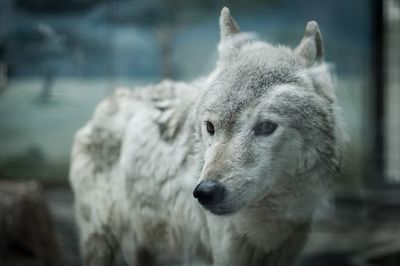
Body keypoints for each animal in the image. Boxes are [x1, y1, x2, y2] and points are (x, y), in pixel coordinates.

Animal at [71, 6, 346, 266]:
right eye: (210, 127)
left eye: (266, 126)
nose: (205, 192)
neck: (268, 223)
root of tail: (111, 100)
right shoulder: (223, 255)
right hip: (102, 242)